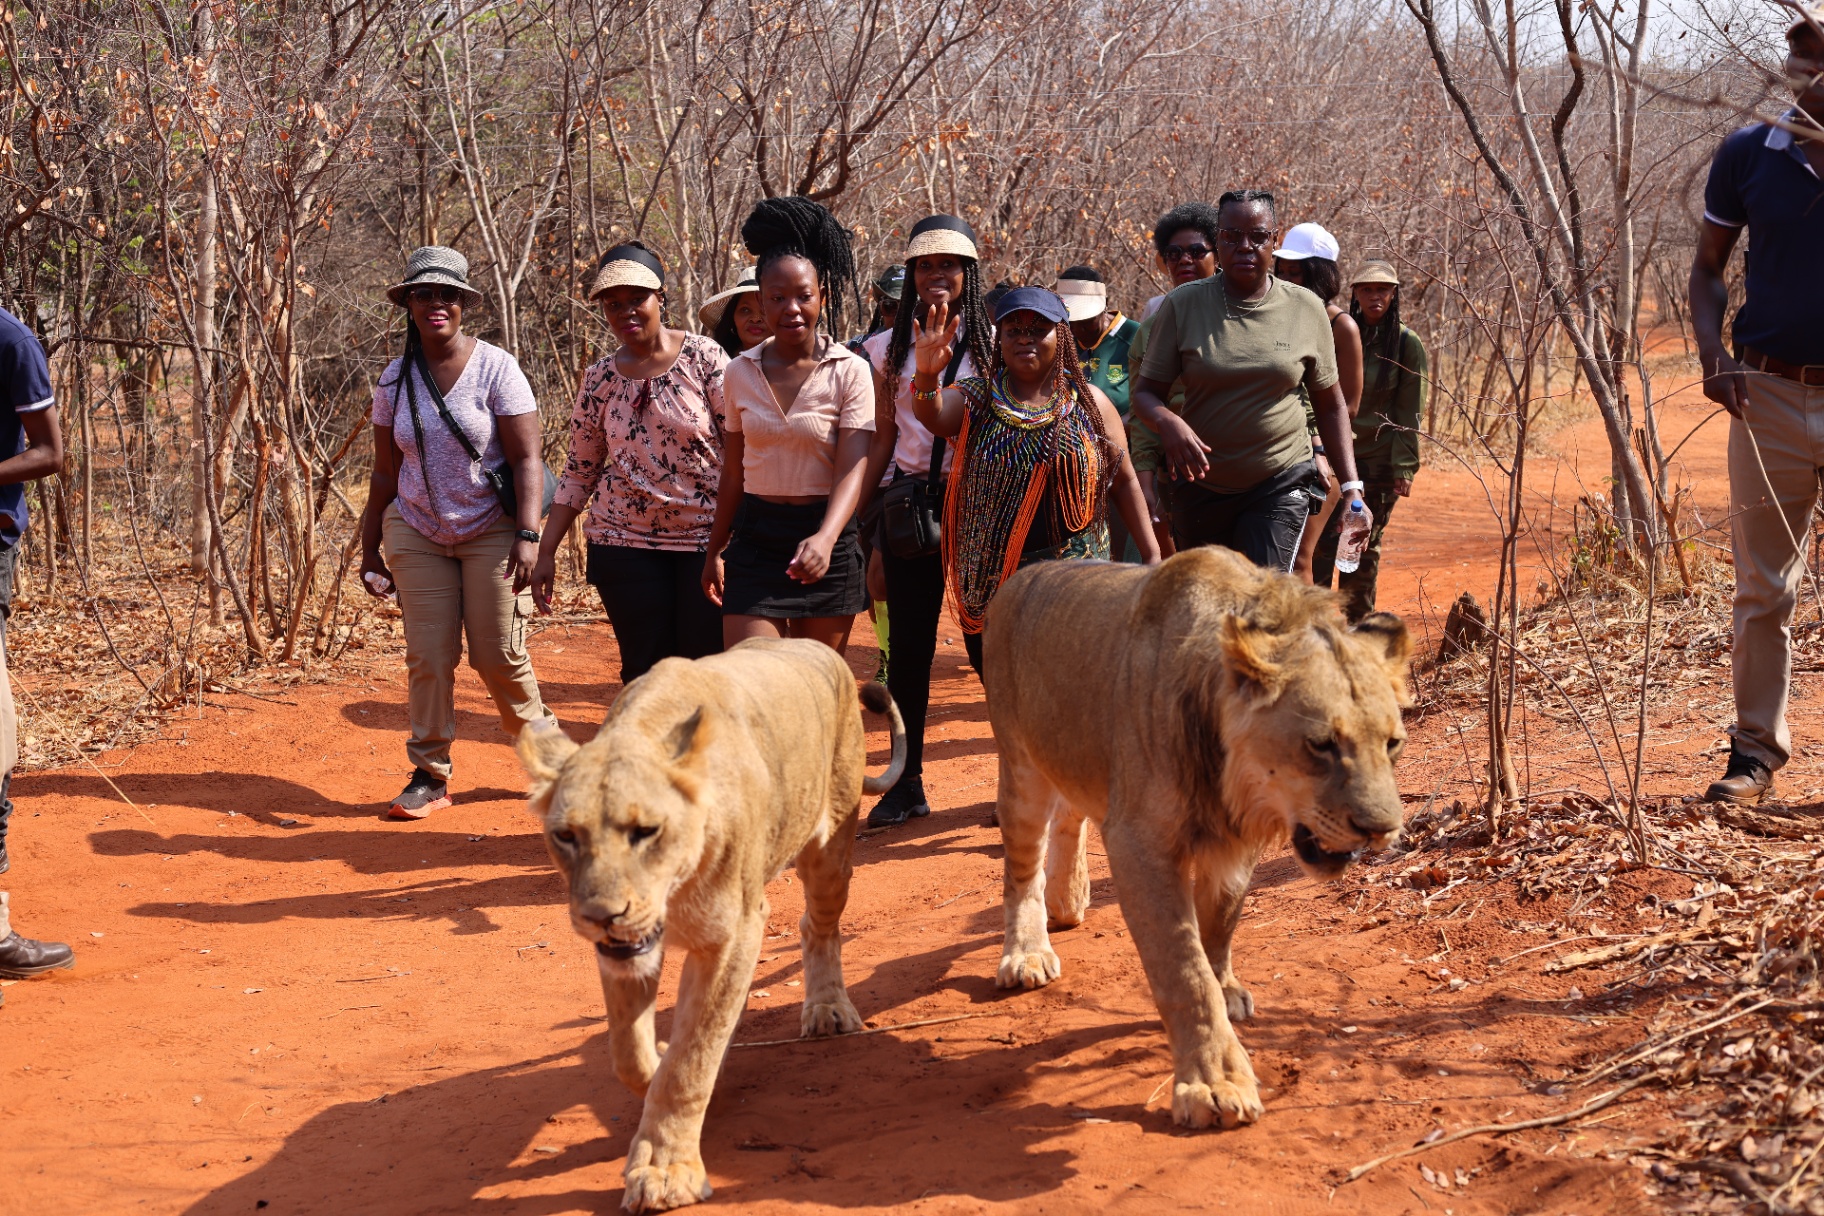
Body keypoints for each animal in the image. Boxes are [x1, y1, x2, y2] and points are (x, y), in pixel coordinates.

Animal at [517, 637, 905, 1213]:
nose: (600, 917)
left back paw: (828, 1008)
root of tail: (815, 645)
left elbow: (690, 1060)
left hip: (830, 846)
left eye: (646, 831)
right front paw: (657, 1065)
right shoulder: (627, 953)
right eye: (566, 836)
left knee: (819, 926)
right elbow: (629, 1053)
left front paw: (665, 1171)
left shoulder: (733, 932)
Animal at [980, 545, 1411, 1130]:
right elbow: (1184, 971)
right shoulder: (1139, 843)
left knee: (1070, 813)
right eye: (1321, 745)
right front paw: (1214, 1083)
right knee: (1022, 865)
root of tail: (1024, 574)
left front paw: (1226, 990)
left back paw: (1069, 902)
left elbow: (1220, 926)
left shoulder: (1235, 845)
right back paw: (1026, 952)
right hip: (1020, 768)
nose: (1382, 829)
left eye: (1392, 743)